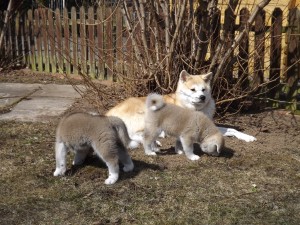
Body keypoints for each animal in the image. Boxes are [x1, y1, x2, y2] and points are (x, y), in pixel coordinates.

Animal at [105, 69, 255, 149]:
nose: (202, 97)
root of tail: (108, 113)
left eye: (203, 90)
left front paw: (247, 137)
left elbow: (232, 130)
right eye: (193, 90)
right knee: (132, 134)